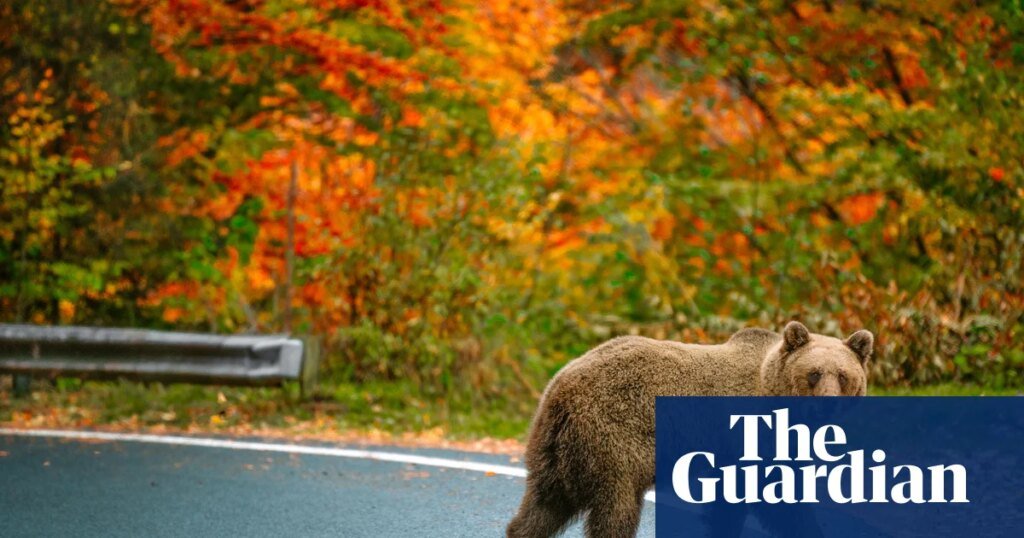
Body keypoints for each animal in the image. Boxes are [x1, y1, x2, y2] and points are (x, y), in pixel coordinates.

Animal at [506, 321, 873, 538]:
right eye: (814, 373)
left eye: (843, 375)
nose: (828, 403)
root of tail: (562, 388)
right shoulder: (748, 436)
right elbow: (776, 501)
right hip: (613, 440)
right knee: (616, 509)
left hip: (554, 451)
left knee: (541, 507)